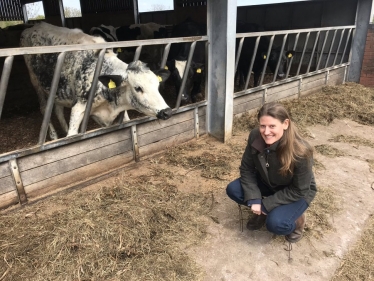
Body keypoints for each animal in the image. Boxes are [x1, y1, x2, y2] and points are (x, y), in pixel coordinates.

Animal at [20, 21, 171, 139]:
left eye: (157, 86)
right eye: (138, 88)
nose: (166, 111)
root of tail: (34, 27)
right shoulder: (78, 107)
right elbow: (73, 133)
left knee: (57, 109)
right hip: (36, 82)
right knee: (44, 108)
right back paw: (54, 136)